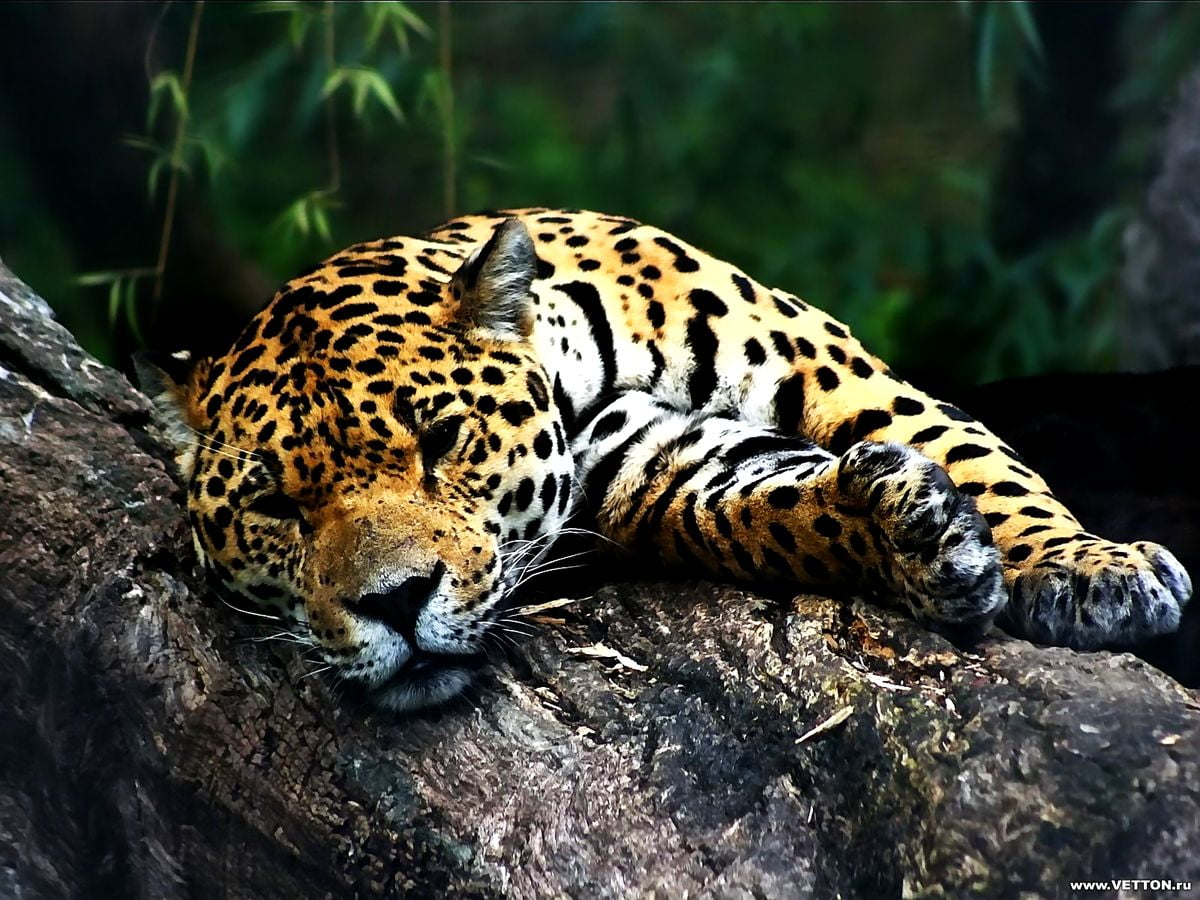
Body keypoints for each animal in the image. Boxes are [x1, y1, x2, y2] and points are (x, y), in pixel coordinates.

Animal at [136, 208, 1193, 711]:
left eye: (441, 441)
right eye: (277, 509)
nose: (392, 604)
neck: (569, 371)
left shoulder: (828, 368)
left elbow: (970, 457)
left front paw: (1088, 571)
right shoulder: (659, 464)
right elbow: (765, 511)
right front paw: (903, 535)